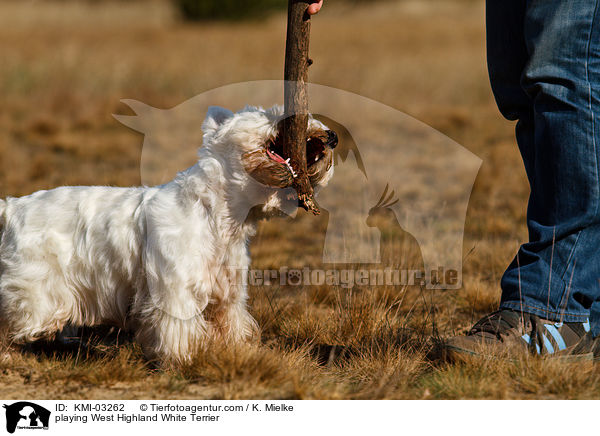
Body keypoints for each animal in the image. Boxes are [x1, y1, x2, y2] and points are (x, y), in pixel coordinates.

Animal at [0, 104, 338, 364]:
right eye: (268, 111)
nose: (332, 136)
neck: (220, 215)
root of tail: (12, 207)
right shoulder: (175, 289)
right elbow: (178, 328)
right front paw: (182, 358)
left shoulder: (228, 295)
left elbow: (229, 325)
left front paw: (233, 352)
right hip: (35, 291)